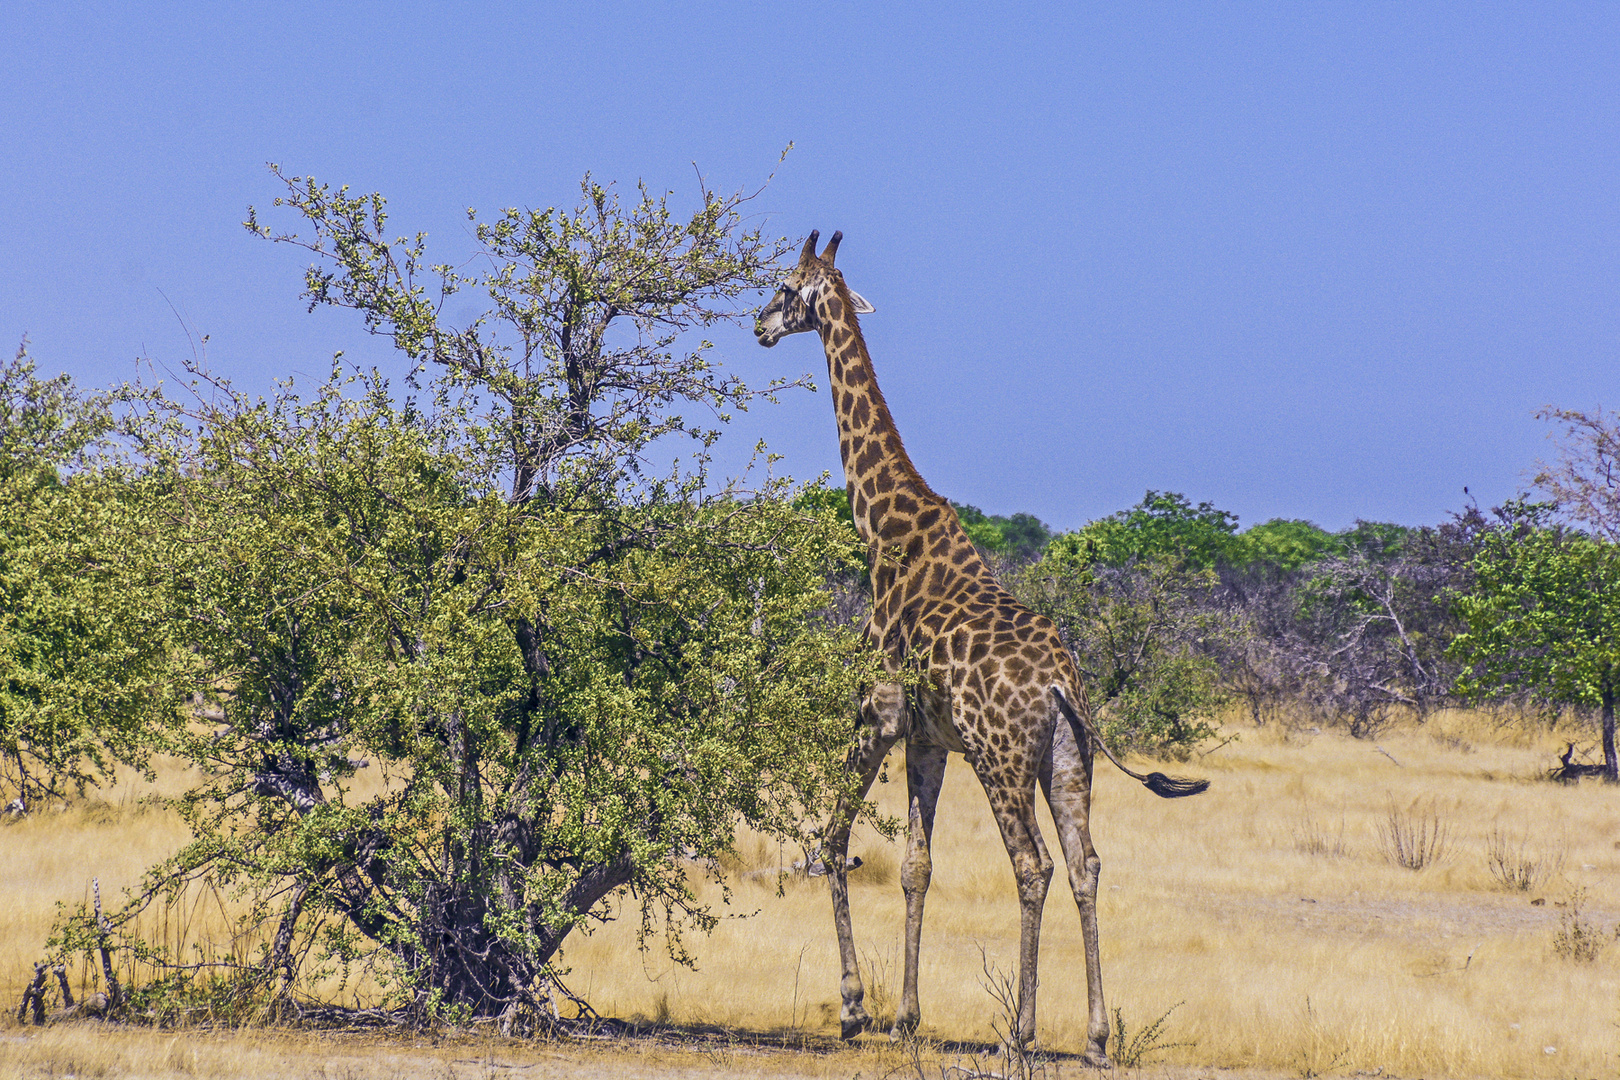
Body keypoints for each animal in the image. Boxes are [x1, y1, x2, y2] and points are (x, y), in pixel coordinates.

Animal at [754, 233, 1205, 1068]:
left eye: (786, 286)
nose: (759, 325)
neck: (884, 537)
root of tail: (1061, 685)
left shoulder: (877, 719)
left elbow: (832, 839)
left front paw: (855, 1009)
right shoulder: (930, 740)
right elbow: (915, 867)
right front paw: (906, 1017)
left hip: (1000, 759)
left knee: (1033, 866)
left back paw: (1019, 1035)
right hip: (1067, 760)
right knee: (1086, 866)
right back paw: (1096, 1036)